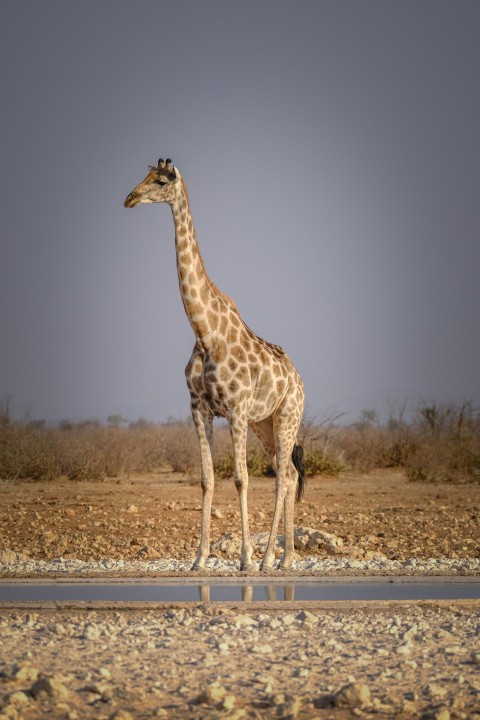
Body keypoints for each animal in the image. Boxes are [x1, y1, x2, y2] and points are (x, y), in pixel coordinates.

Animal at [124, 159, 304, 572]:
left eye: (160, 181)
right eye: (143, 177)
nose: (130, 198)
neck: (205, 332)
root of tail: (299, 379)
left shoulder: (235, 409)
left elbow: (240, 478)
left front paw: (246, 559)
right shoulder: (199, 407)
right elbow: (206, 479)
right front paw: (200, 558)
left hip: (287, 415)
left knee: (281, 476)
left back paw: (269, 558)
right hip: (264, 423)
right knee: (288, 472)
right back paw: (284, 558)